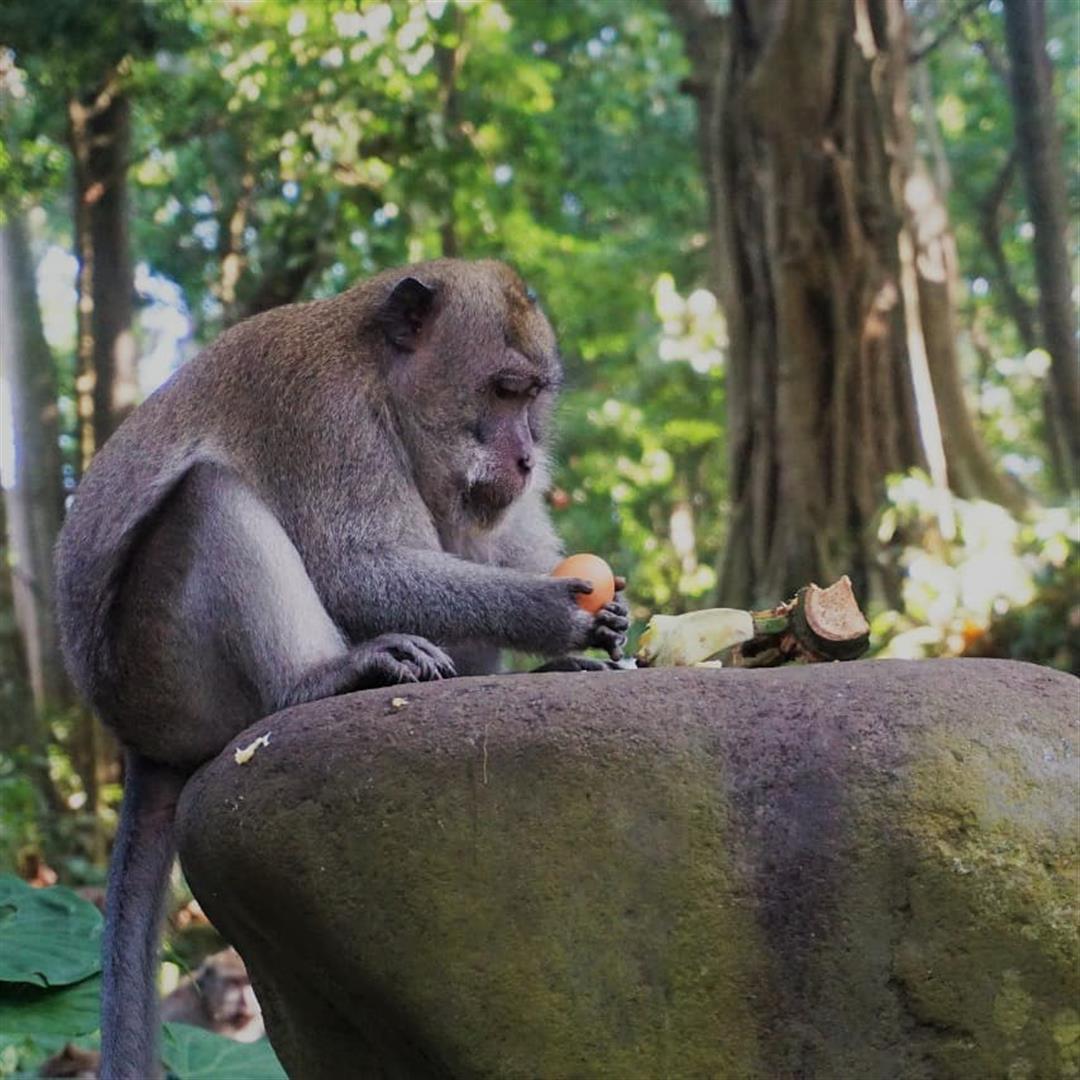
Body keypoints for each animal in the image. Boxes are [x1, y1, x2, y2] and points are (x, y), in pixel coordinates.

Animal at [54, 259, 629, 1079]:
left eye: (533, 398)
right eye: (502, 390)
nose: (526, 457)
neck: (383, 375)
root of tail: (137, 740)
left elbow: (493, 536)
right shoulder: (326, 416)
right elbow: (355, 566)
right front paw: (549, 611)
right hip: (167, 676)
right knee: (207, 498)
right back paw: (325, 677)